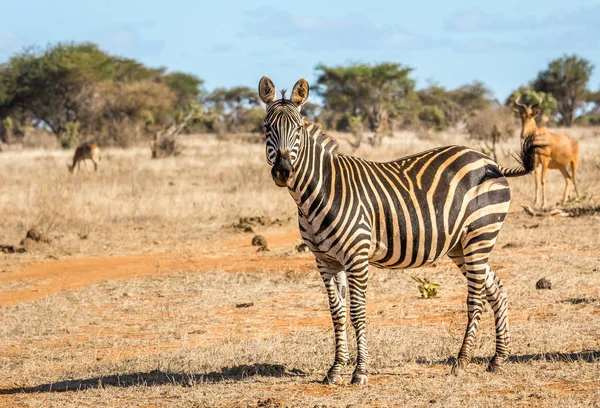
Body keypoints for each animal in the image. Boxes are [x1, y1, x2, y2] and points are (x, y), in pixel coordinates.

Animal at [258, 76, 540, 386]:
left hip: (481, 232)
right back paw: (497, 359)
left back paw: (462, 361)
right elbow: (337, 313)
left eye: (298, 129)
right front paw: (335, 369)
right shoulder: (325, 261)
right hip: (461, 245)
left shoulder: (357, 256)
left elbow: (357, 312)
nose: (283, 171)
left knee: (476, 299)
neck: (320, 190)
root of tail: (489, 160)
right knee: (497, 289)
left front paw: (360, 371)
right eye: (266, 128)